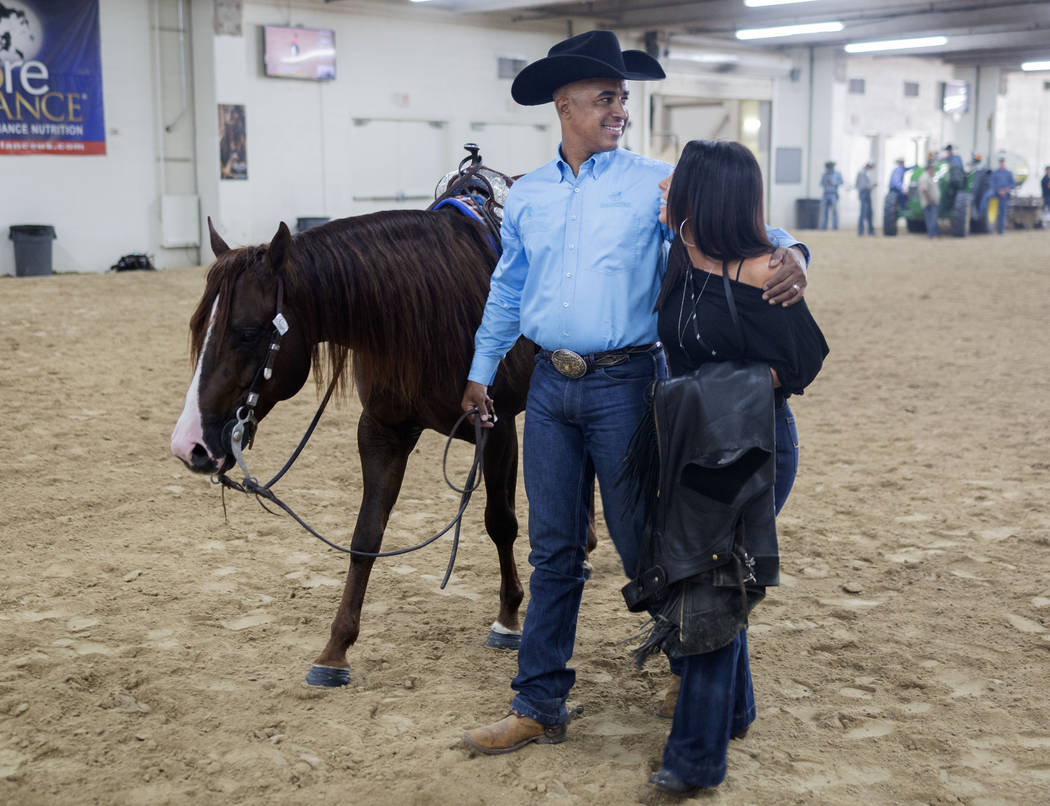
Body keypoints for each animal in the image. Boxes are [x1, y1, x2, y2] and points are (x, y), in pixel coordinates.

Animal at [169, 209, 541, 688]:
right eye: (198, 328)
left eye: (248, 333)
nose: (189, 445)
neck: (436, 310)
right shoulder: (382, 432)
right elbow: (366, 535)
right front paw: (335, 651)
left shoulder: (497, 429)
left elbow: (501, 522)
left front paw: (509, 619)